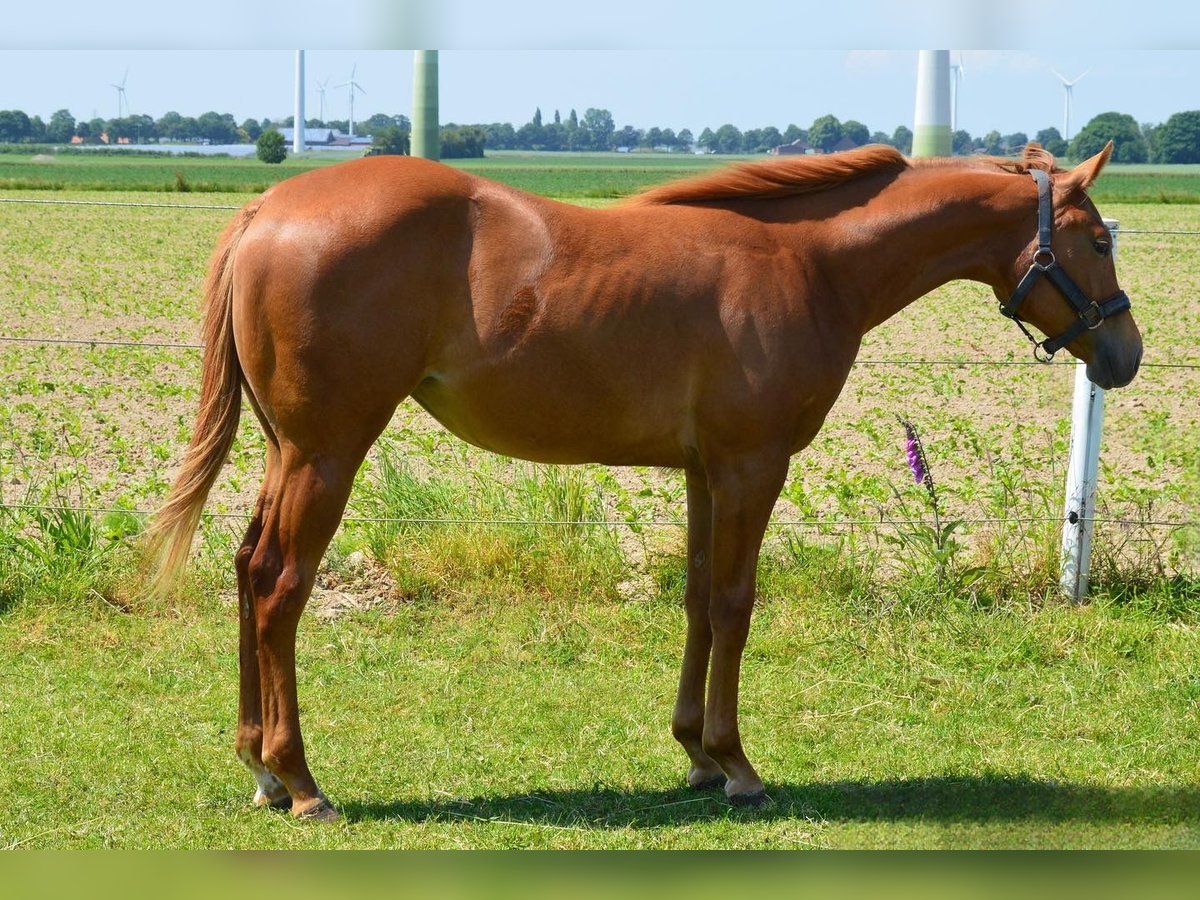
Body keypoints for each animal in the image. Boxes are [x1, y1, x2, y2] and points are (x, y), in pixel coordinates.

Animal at [147, 139, 1142, 816]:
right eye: (1096, 239)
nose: (1125, 355)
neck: (809, 263)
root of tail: (265, 210)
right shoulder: (751, 466)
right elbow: (736, 605)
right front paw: (738, 766)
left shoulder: (707, 472)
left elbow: (699, 600)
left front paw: (696, 753)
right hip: (327, 453)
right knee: (281, 586)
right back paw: (301, 779)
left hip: (286, 452)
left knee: (245, 569)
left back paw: (259, 766)